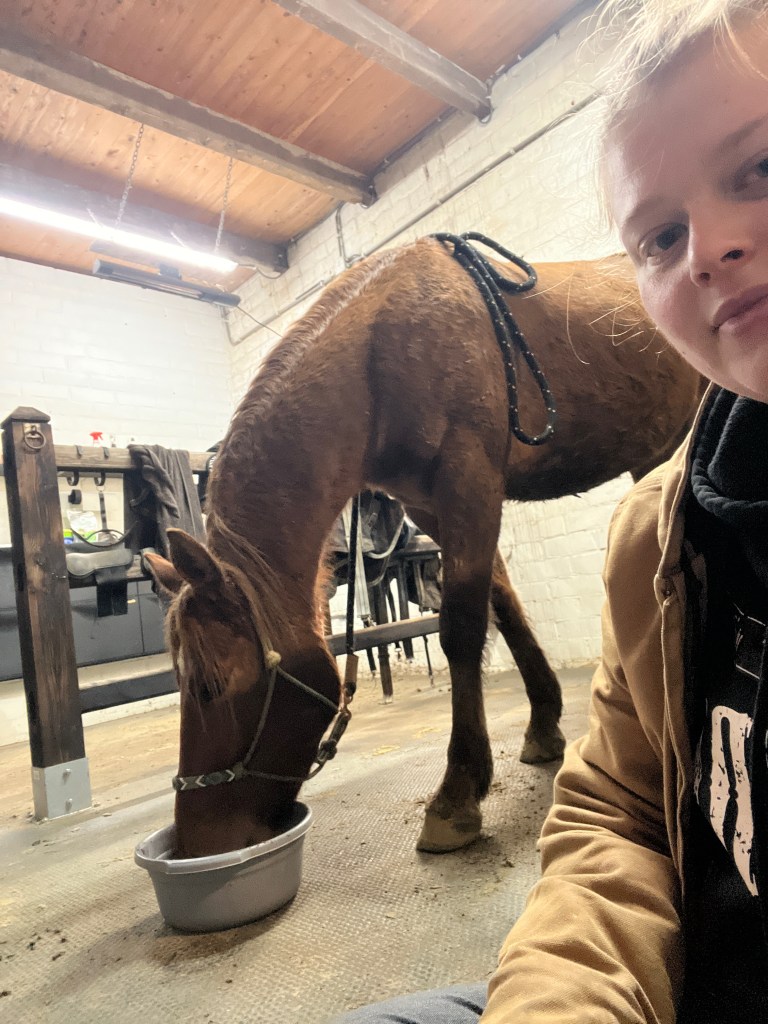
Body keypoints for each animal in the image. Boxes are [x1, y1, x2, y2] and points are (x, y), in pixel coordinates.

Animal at [145, 235, 704, 858]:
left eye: (210, 687)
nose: (198, 842)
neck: (378, 361)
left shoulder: (470, 487)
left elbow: (460, 629)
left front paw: (457, 793)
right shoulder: (437, 510)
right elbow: (505, 610)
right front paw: (542, 725)